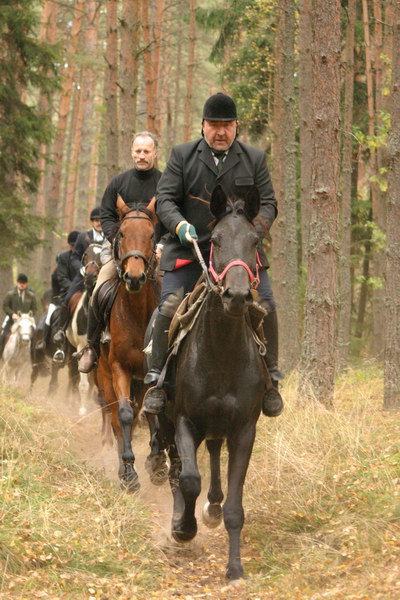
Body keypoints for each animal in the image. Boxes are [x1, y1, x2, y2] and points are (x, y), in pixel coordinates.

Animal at [158, 185, 270, 584]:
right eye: (216, 240)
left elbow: (236, 506)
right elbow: (189, 479)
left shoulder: (244, 430)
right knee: (175, 470)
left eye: (255, 240)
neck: (222, 350)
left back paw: (213, 505)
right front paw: (184, 528)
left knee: (213, 454)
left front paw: (235, 569)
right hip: (164, 421)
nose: (236, 296)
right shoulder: (184, 422)